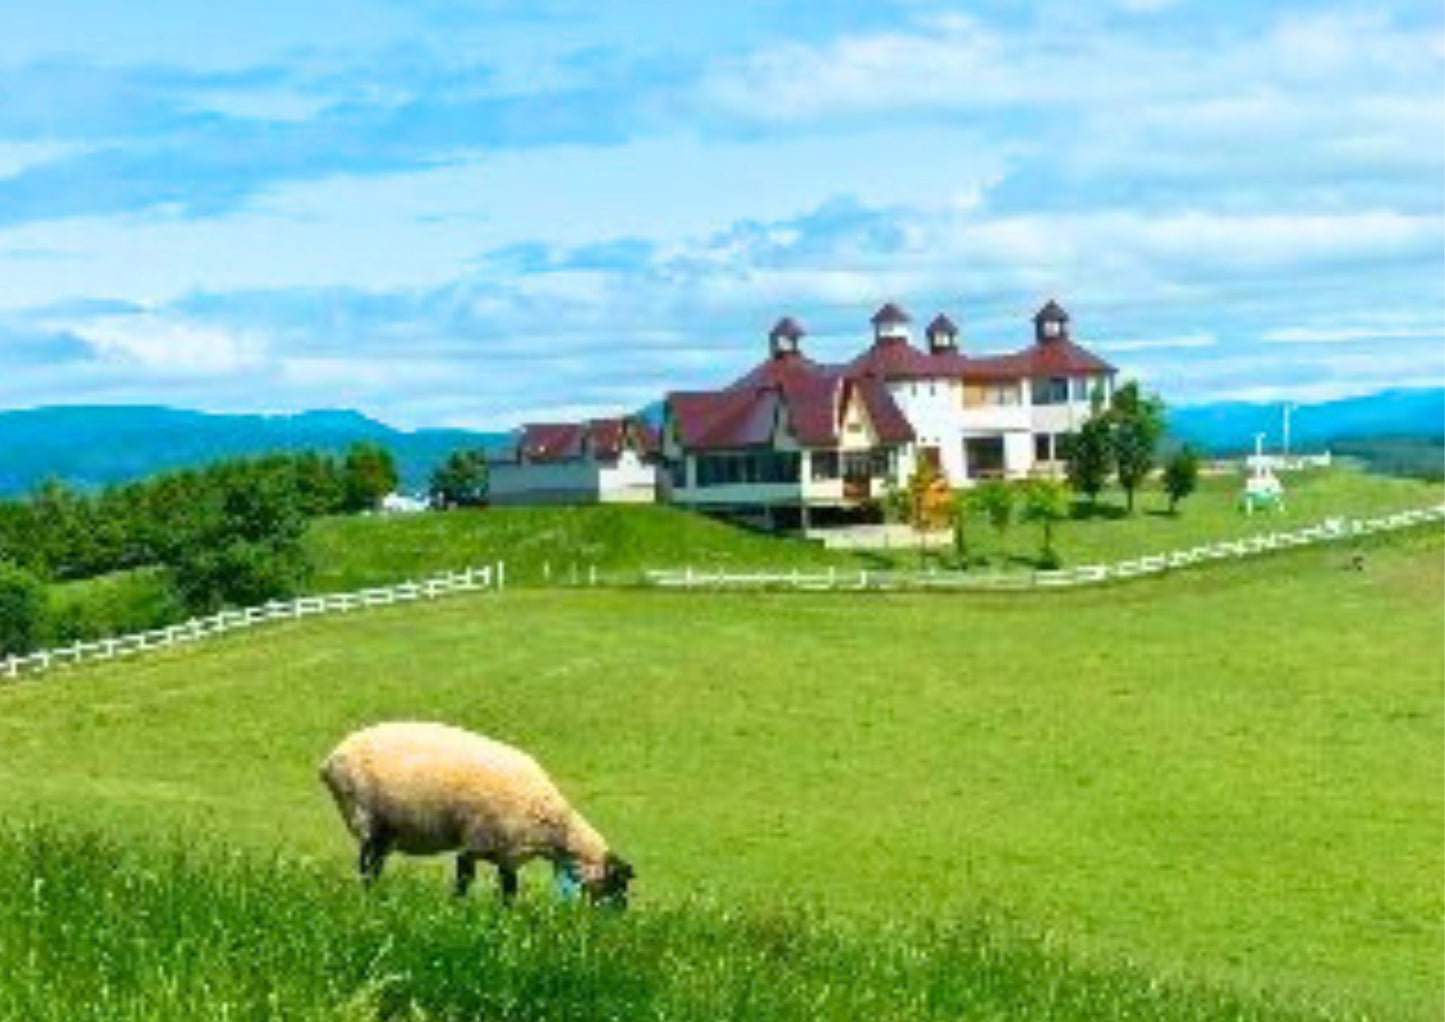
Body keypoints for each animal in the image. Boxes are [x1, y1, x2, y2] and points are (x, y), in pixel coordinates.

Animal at [319, 722, 635, 907]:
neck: (554, 827)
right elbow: (464, 880)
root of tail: (330, 760)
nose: (617, 922)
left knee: (374, 863)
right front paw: (458, 911)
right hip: (366, 816)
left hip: (386, 831)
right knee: (367, 866)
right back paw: (369, 898)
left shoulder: (508, 855)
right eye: (618, 885)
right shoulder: (475, 842)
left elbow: (509, 891)